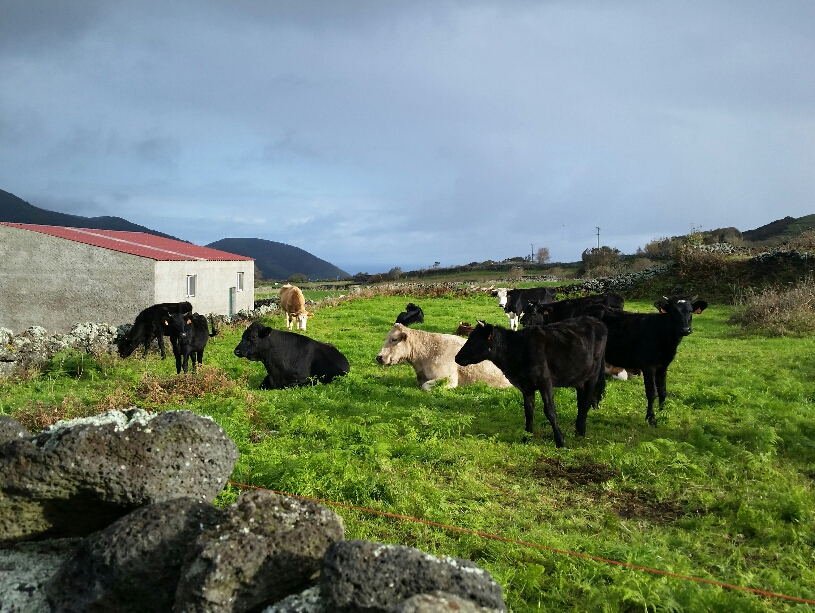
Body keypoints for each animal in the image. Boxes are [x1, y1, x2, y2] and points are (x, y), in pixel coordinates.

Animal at [456, 318, 608, 448]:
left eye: (474, 339)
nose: (457, 357)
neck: (517, 350)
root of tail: (595, 321)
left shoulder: (545, 383)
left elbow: (550, 411)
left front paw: (560, 441)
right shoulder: (526, 387)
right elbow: (528, 412)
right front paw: (526, 438)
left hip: (593, 375)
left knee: (587, 401)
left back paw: (581, 430)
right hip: (580, 378)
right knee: (581, 401)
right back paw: (579, 430)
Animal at [588, 296, 708, 426]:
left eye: (690, 310)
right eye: (673, 311)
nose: (685, 329)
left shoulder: (663, 366)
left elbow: (662, 390)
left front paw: (663, 412)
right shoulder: (648, 366)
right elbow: (651, 392)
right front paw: (651, 418)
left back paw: (595, 406)